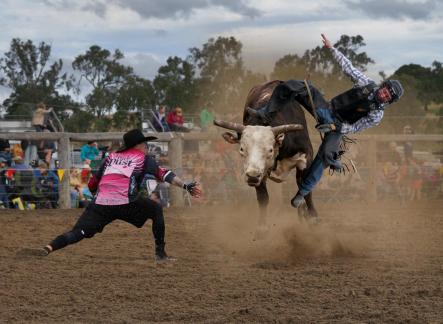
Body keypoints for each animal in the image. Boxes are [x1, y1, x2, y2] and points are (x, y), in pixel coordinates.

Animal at [213, 79, 318, 224]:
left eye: (270, 149)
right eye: (242, 149)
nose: (252, 176)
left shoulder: (305, 158)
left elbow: (306, 191)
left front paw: (313, 217)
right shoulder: (258, 170)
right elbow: (263, 198)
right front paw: (262, 226)